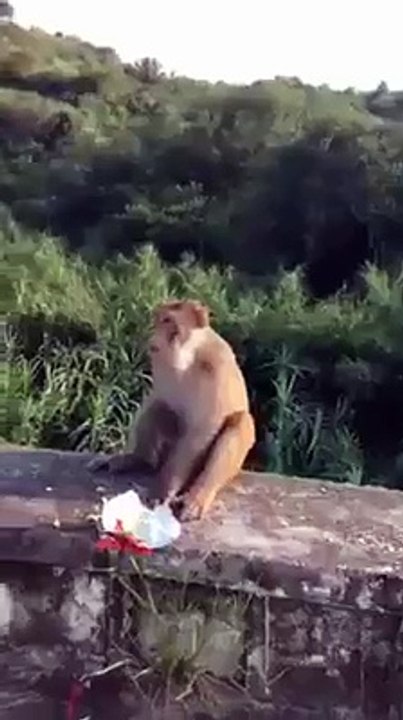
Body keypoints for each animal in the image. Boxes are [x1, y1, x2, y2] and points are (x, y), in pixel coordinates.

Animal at [89, 299, 256, 521]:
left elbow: (203, 429)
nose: (154, 334)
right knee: (158, 407)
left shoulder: (215, 367)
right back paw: (139, 460)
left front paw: (168, 488)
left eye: (168, 320)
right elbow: (158, 399)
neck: (189, 357)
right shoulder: (161, 363)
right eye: (158, 319)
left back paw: (199, 495)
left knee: (241, 422)